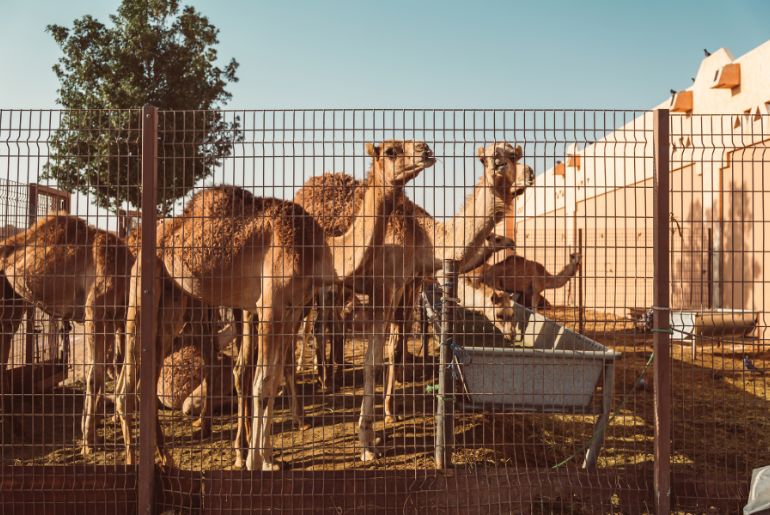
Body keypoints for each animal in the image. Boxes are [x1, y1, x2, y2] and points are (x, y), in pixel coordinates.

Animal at [0, 214, 134, 456]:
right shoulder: (95, 315)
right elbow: (94, 375)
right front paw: (88, 441)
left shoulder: (113, 320)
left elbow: (108, 368)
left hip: (14, 305)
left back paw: (19, 432)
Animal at [117, 140, 436, 472]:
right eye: (391, 150)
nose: (426, 149)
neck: (320, 252)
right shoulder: (271, 306)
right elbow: (263, 382)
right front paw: (254, 461)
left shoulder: (291, 309)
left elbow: (272, 379)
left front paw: (269, 458)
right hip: (141, 289)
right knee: (125, 386)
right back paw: (131, 461)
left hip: (172, 301)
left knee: (147, 374)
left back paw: (165, 457)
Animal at [294, 143, 536, 454]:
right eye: (498, 159)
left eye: (518, 153)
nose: (530, 173)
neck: (423, 237)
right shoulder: (384, 287)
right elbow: (374, 359)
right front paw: (367, 440)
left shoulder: (410, 284)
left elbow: (396, 347)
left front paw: (390, 411)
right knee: (316, 328)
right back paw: (319, 387)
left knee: (324, 327)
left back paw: (328, 377)